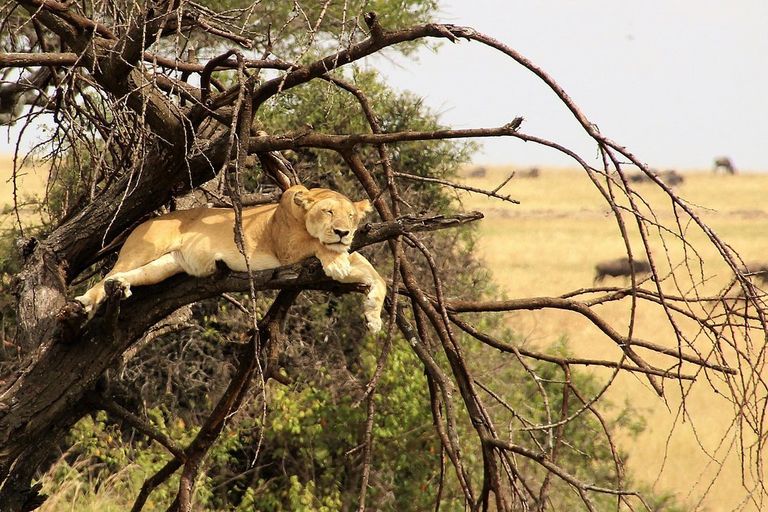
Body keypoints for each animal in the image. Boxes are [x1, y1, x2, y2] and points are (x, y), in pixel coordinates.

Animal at [75, 185, 387, 332]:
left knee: (130, 275)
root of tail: (146, 221)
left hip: (164, 266)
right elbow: (318, 245)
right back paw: (86, 302)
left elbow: (378, 276)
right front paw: (336, 264)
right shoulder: (287, 248)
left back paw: (122, 284)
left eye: (351, 216)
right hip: (145, 248)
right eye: (328, 212)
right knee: (104, 278)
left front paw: (373, 317)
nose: (344, 232)